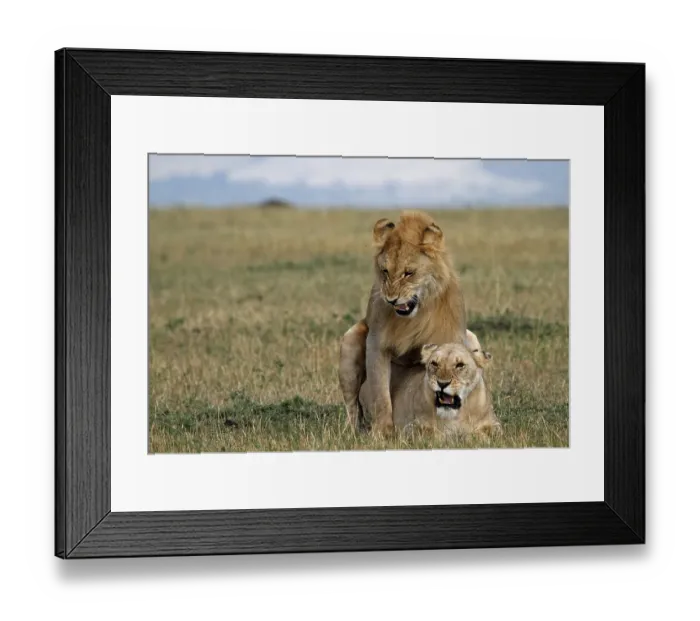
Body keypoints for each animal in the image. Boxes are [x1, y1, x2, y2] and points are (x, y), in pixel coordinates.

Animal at [338, 210, 468, 434]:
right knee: (353, 408)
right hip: (350, 341)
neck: (414, 318)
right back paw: (352, 432)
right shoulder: (376, 344)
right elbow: (381, 395)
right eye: (385, 271)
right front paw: (382, 432)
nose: (391, 300)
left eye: (409, 273)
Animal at [359, 339, 501, 436]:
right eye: (434, 363)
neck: (454, 416)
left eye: (460, 365)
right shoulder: (412, 427)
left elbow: (486, 433)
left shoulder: (494, 424)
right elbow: (432, 434)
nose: (442, 383)